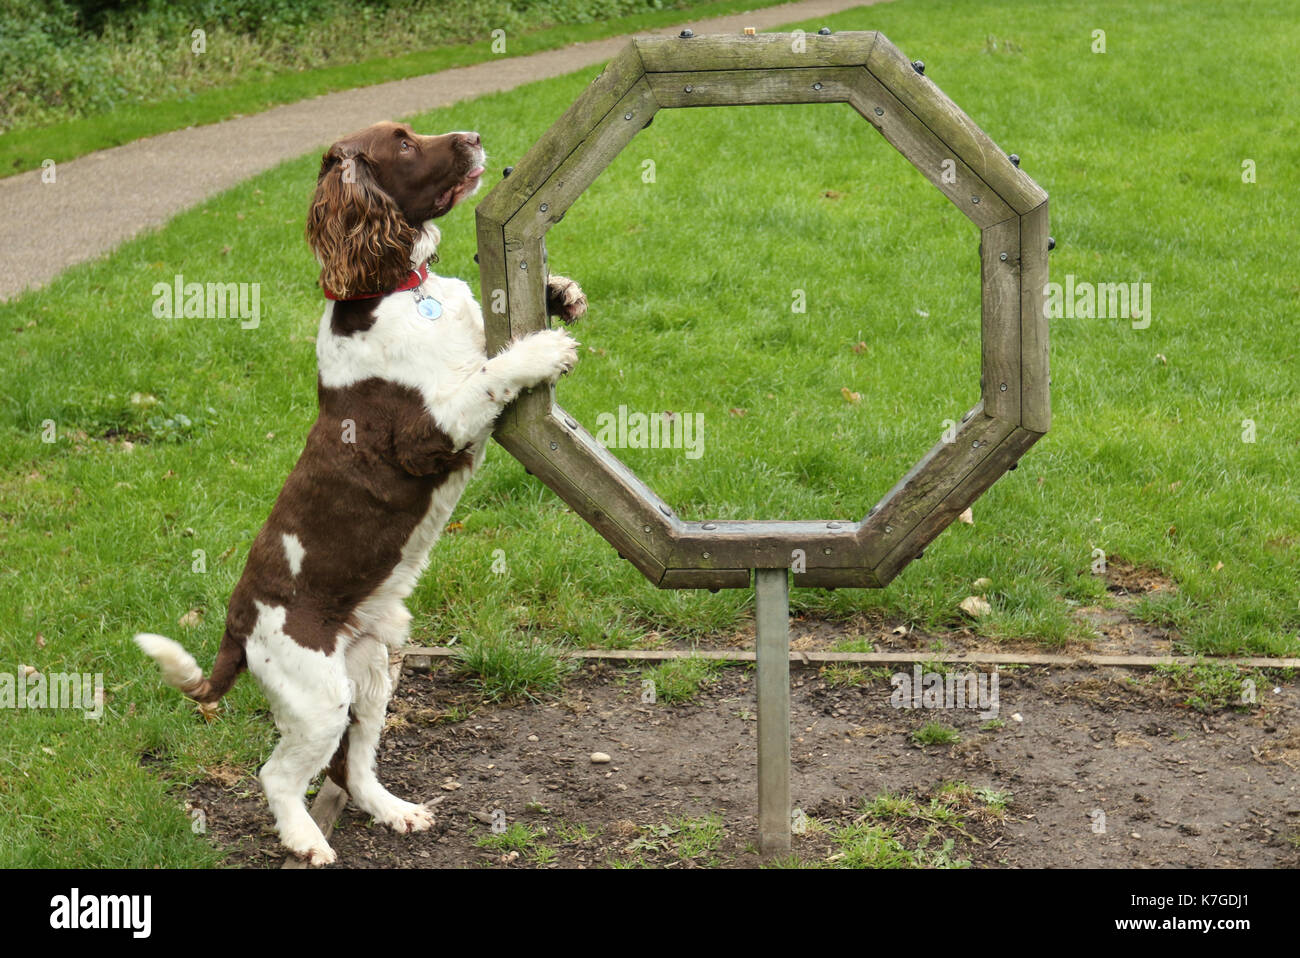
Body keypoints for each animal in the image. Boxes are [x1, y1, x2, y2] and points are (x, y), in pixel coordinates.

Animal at [137, 123, 585, 863]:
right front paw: (542, 349)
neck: (403, 290)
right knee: (279, 773)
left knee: (353, 764)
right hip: (316, 694)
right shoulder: (424, 432)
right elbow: (489, 374)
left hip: (372, 669)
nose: (473, 135)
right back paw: (306, 841)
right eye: (402, 143)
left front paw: (560, 292)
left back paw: (394, 812)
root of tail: (237, 623)